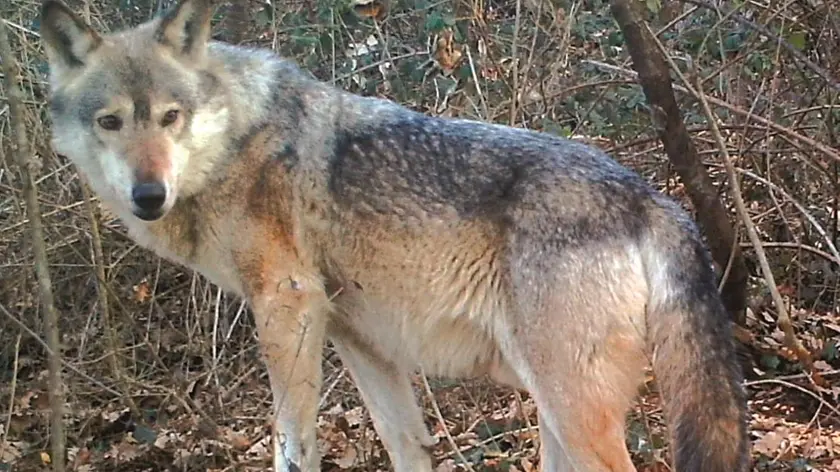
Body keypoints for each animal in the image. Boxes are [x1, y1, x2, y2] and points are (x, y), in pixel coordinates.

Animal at [39, 0, 749, 470]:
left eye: (170, 117)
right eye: (110, 122)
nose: (148, 194)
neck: (237, 137)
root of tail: (653, 200)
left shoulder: (287, 306)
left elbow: (292, 445)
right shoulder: (360, 340)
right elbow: (403, 442)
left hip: (573, 410)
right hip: (553, 411)